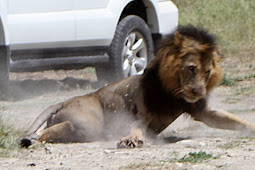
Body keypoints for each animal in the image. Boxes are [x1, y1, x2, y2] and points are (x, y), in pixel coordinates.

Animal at [19, 24, 255, 148]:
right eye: (191, 68)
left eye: (207, 72)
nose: (198, 91)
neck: (173, 91)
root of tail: (62, 102)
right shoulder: (140, 113)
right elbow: (136, 126)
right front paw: (132, 138)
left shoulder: (202, 111)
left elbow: (235, 121)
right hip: (88, 122)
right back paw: (34, 137)